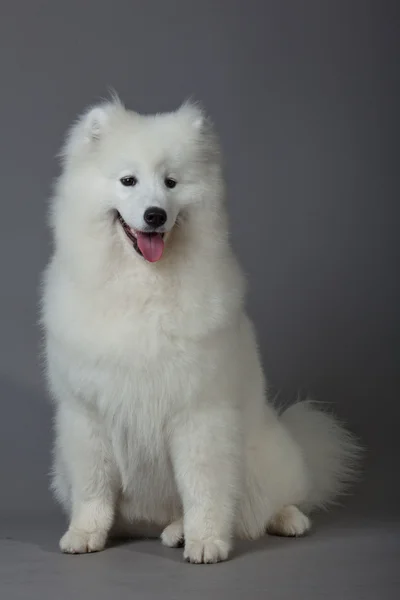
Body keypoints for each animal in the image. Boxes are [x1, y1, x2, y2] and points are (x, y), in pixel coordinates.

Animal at [40, 97, 360, 564]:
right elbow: (93, 488)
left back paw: (283, 520)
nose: (155, 214)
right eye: (128, 180)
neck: (143, 287)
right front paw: (85, 534)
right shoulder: (88, 415)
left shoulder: (199, 412)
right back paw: (168, 530)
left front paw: (206, 541)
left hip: (265, 454)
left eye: (171, 183)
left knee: (269, 502)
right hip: (63, 467)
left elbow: (204, 488)